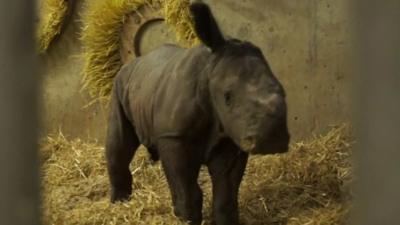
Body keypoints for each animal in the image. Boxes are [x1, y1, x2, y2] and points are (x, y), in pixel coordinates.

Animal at [104, 2, 290, 225]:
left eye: (283, 92)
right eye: (227, 97)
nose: (272, 140)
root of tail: (132, 63)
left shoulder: (230, 135)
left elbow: (226, 193)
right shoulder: (174, 138)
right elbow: (187, 192)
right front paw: (185, 218)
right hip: (119, 85)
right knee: (119, 142)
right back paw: (120, 203)